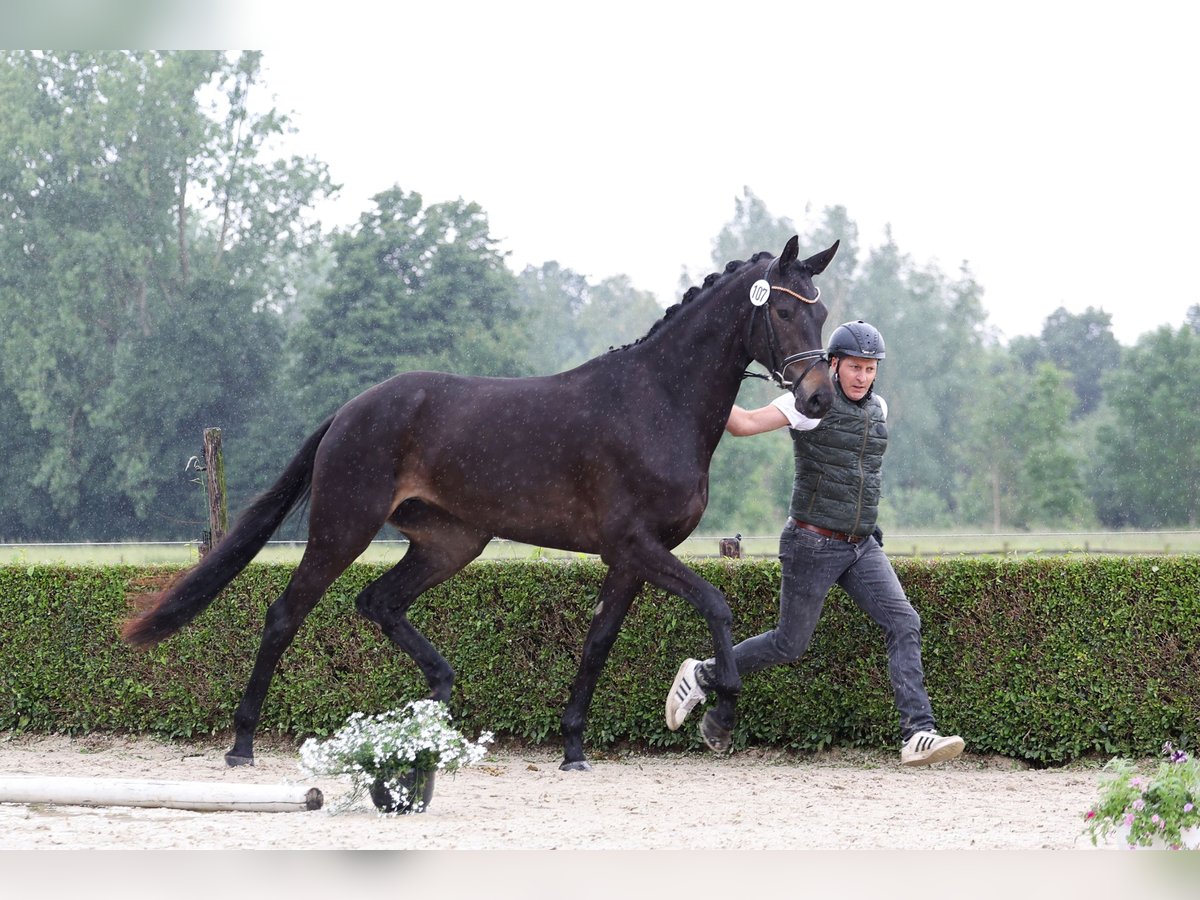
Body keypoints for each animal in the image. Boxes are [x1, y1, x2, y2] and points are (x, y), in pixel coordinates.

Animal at [119, 236, 835, 772]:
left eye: (821, 314)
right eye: (784, 312)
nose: (820, 397)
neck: (656, 402)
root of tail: (352, 409)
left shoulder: (632, 559)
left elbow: (598, 642)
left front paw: (573, 745)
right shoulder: (636, 545)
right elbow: (715, 605)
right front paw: (720, 718)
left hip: (451, 541)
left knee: (379, 602)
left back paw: (435, 710)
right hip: (342, 529)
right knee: (284, 615)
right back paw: (242, 743)